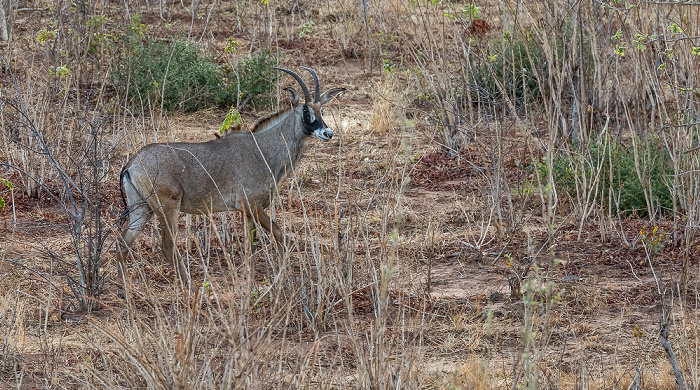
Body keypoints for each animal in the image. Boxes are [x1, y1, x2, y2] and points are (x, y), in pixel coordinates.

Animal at [115, 67, 344, 280]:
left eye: (321, 110)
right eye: (305, 111)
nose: (328, 133)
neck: (261, 148)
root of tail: (132, 163)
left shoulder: (248, 212)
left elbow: (251, 247)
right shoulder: (252, 205)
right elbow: (281, 236)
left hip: (142, 208)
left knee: (122, 243)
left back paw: (123, 290)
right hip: (167, 208)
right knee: (168, 247)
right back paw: (190, 287)